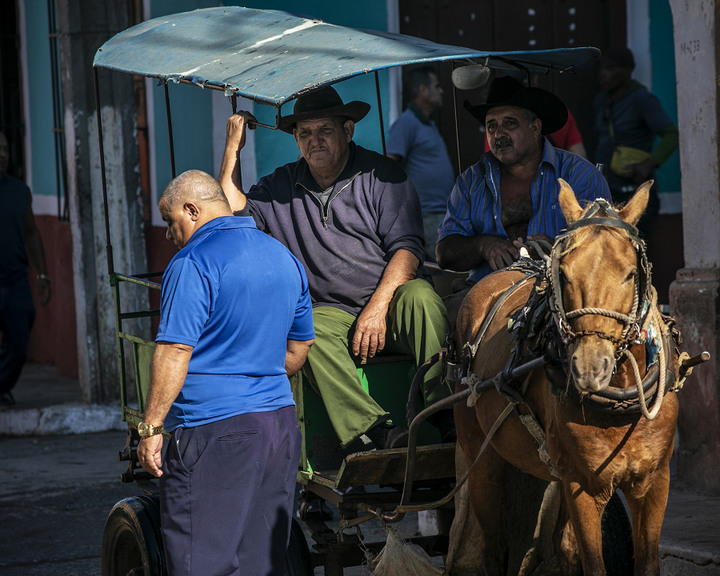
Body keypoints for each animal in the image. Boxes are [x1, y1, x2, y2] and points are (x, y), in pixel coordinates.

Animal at [452, 179, 684, 572]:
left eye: (630, 274)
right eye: (564, 274)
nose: (590, 368)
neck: (620, 401)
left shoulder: (655, 482)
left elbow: (644, 562)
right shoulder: (582, 486)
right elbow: (594, 562)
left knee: (561, 545)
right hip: (480, 455)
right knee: (493, 546)